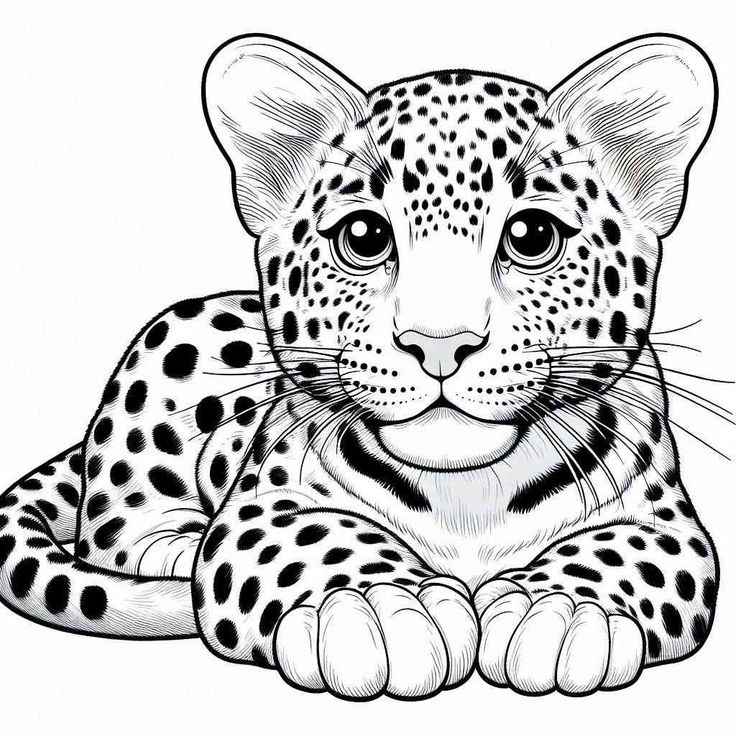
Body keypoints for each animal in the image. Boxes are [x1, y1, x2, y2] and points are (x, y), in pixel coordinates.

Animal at [0, 32, 719, 699]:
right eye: (365, 237)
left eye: (532, 236)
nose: (439, 343)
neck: (467, 498)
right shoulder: (263, 507)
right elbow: (320, 537)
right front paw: (382, 608)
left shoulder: (666, 523)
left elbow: (612, 550)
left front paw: (555, 609)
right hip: (163, 356)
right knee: (113, 527)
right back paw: (177, 557)